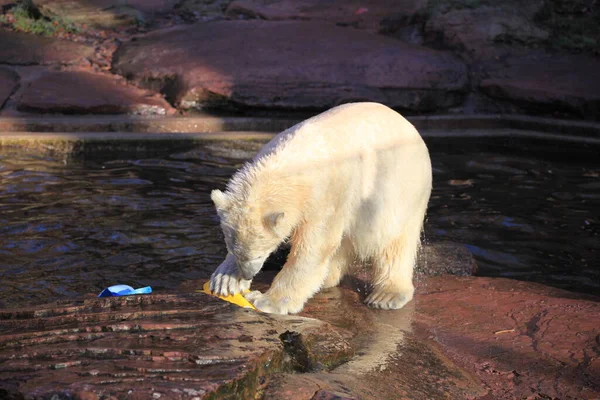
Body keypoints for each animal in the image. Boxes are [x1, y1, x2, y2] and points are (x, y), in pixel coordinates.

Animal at [209, 103, 428, 316]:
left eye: (259, 254)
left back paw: (386, 295)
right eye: (234, 250)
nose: (248, 273)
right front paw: (225, 279)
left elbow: (314, 246)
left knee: (393, 241)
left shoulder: (327, 193)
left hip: (399, 187)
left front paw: (267, 301)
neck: (292, 164)